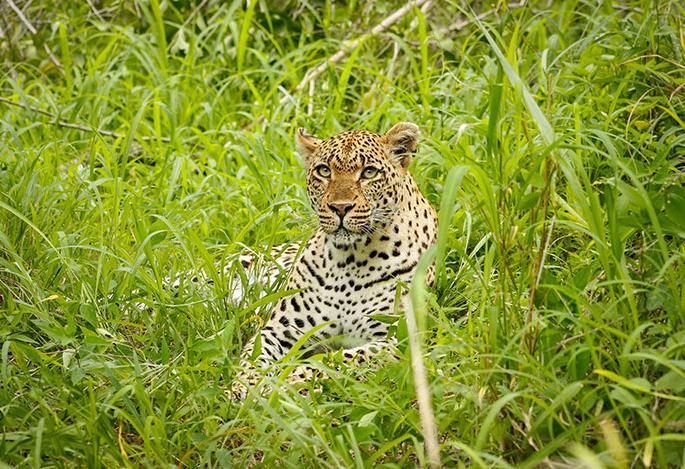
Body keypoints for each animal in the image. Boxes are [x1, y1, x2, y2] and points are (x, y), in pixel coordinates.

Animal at [232, 121, 438, 398]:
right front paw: (245, 386)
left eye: (369, 173)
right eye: (324, 171)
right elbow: (252, 357)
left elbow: (340, 360)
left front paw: (289, 383)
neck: (350, 260)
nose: (340, 208)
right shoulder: (279, 330)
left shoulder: (396, 339)